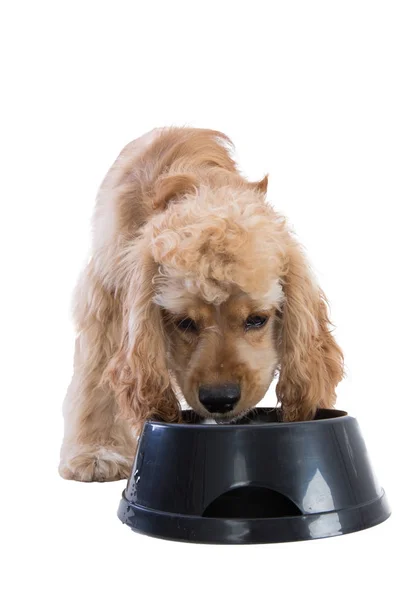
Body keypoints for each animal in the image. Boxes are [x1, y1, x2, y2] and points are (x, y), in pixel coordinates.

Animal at [59, 127, 344, 482]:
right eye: (184, 322)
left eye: (257, 319)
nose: (219, 400)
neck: (201, 186)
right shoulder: (106, 291)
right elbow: (96, 371)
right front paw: (96, 450)